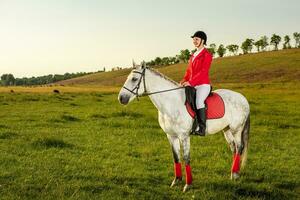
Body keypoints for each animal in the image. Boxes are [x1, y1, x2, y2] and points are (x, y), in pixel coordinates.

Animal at [118, 61, 250, 192]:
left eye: (134, 79)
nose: (121, 98)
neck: (171, 103)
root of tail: (243, 98)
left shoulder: (184, 136)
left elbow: (186, 158)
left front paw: (188, 184)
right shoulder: (171, 136)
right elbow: (176, 157)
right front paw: (176, 181)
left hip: (236, 129)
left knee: (239, 147)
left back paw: (235, 174)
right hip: (226, 130)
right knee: (234, 148)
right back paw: (233, 174)